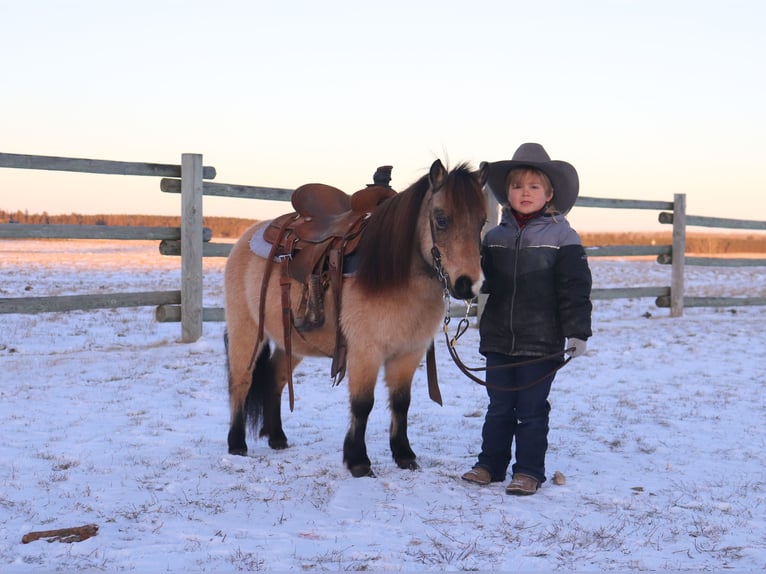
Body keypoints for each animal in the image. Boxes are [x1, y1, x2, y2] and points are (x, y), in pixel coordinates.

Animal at [224, 160, 486, 480]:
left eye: (483, 221)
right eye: (441, 219)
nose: (468, 285)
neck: (393, 276)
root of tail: (249, 235)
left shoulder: (408, 354)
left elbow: (402, 403)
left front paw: (404, 455)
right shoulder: (365, 352)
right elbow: (363, 405)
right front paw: (358, 461)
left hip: (292, 342)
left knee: (276, 377)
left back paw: (277, 438)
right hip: (247, 331)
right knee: (241, 380)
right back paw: (237, 443)